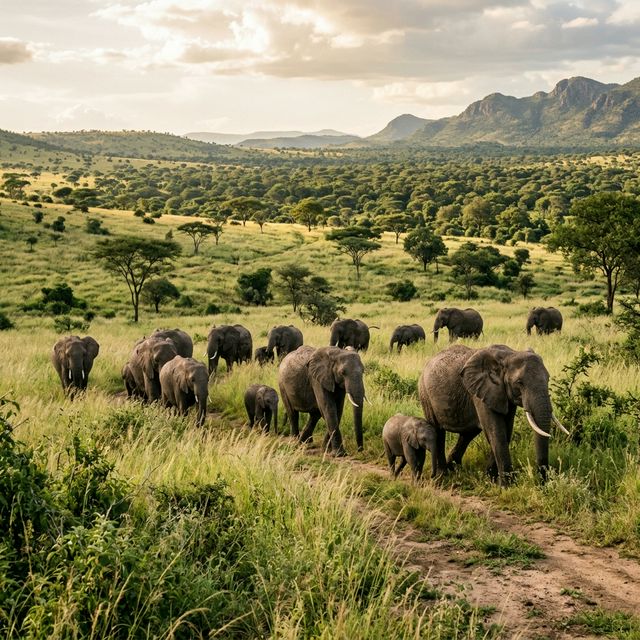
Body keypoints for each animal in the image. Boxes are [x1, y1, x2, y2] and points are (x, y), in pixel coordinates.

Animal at [418, 344, 569, 486]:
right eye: (519, 383)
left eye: (548, 379)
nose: (543, 483)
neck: (510, 354)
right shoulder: (481, 391)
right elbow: (496, 431)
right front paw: (507, 486)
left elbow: (506, 431)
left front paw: (491, 479)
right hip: (425, 394)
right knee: (438, 431)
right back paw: (442, 476)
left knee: (468, 433)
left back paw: (453, 468)